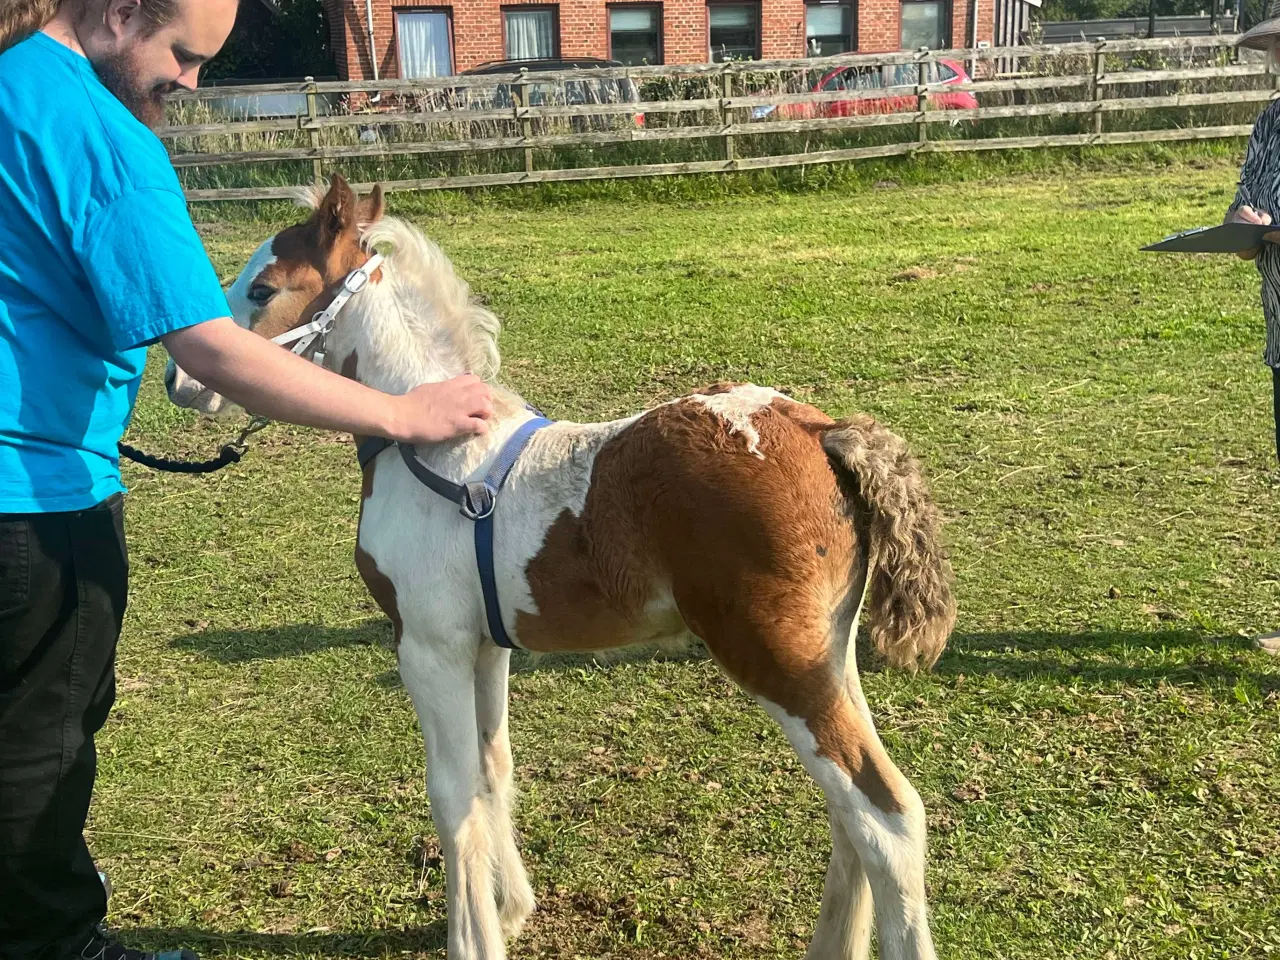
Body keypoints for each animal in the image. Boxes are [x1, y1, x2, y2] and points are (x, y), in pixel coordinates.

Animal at [167, 179, 952, 960]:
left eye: (263, 289)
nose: (181, 380)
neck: (432, 445)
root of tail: (822, 433)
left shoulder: (427, 648)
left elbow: (451, 796)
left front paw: (472, 940)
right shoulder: (485, 647)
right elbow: (493, 771)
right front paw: (511, 909)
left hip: (777, 659)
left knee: (886, 817)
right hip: (829, 656)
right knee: (850, 813)